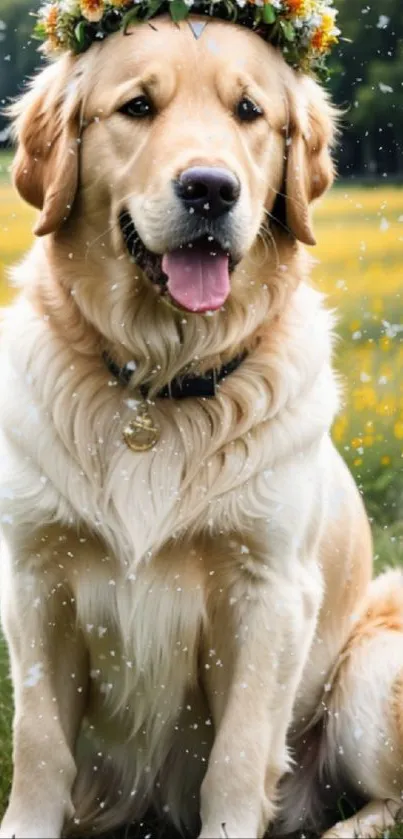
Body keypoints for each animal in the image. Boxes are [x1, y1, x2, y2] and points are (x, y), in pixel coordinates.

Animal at [0, 14, 403, 839]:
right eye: (136, 107)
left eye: (249, 112)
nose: (211, 189)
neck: (158, 386)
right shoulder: (34, 578)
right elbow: (40, 743)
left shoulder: (268, 591)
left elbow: (237, 758)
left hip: (371, 671)